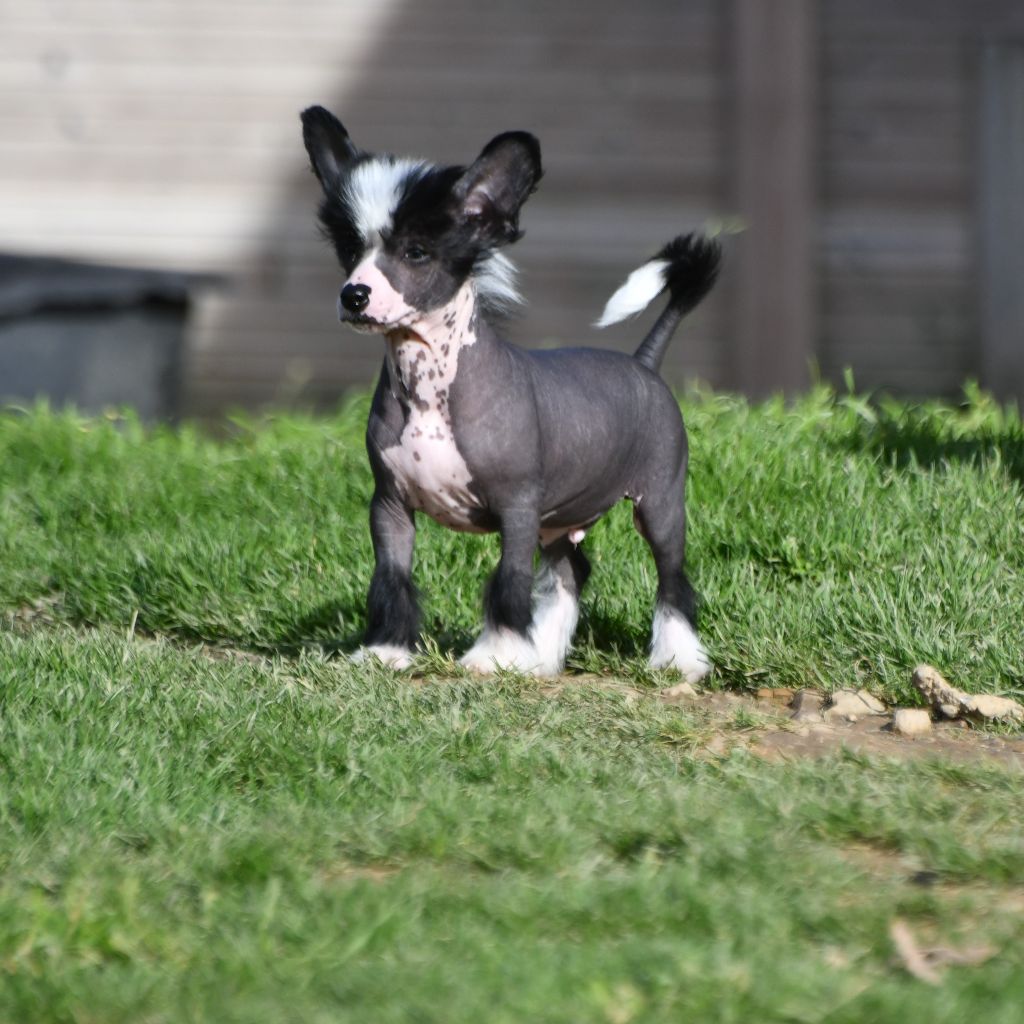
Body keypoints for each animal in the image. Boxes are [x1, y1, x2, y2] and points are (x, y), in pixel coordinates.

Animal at [301, 105, 720, 679]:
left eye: (416, 252)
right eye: (350, 250)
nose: (355, 295)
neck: (429, 390)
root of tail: (643, 363)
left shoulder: (517, 509)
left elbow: (508, 582)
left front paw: (494, 656)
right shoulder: (389, 507)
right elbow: (392, 580)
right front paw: (387, 650)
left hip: (658, 505)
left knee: (671, 578)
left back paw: (676, 659)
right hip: (560, 518)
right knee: (570, 573)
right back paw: (543, 655)